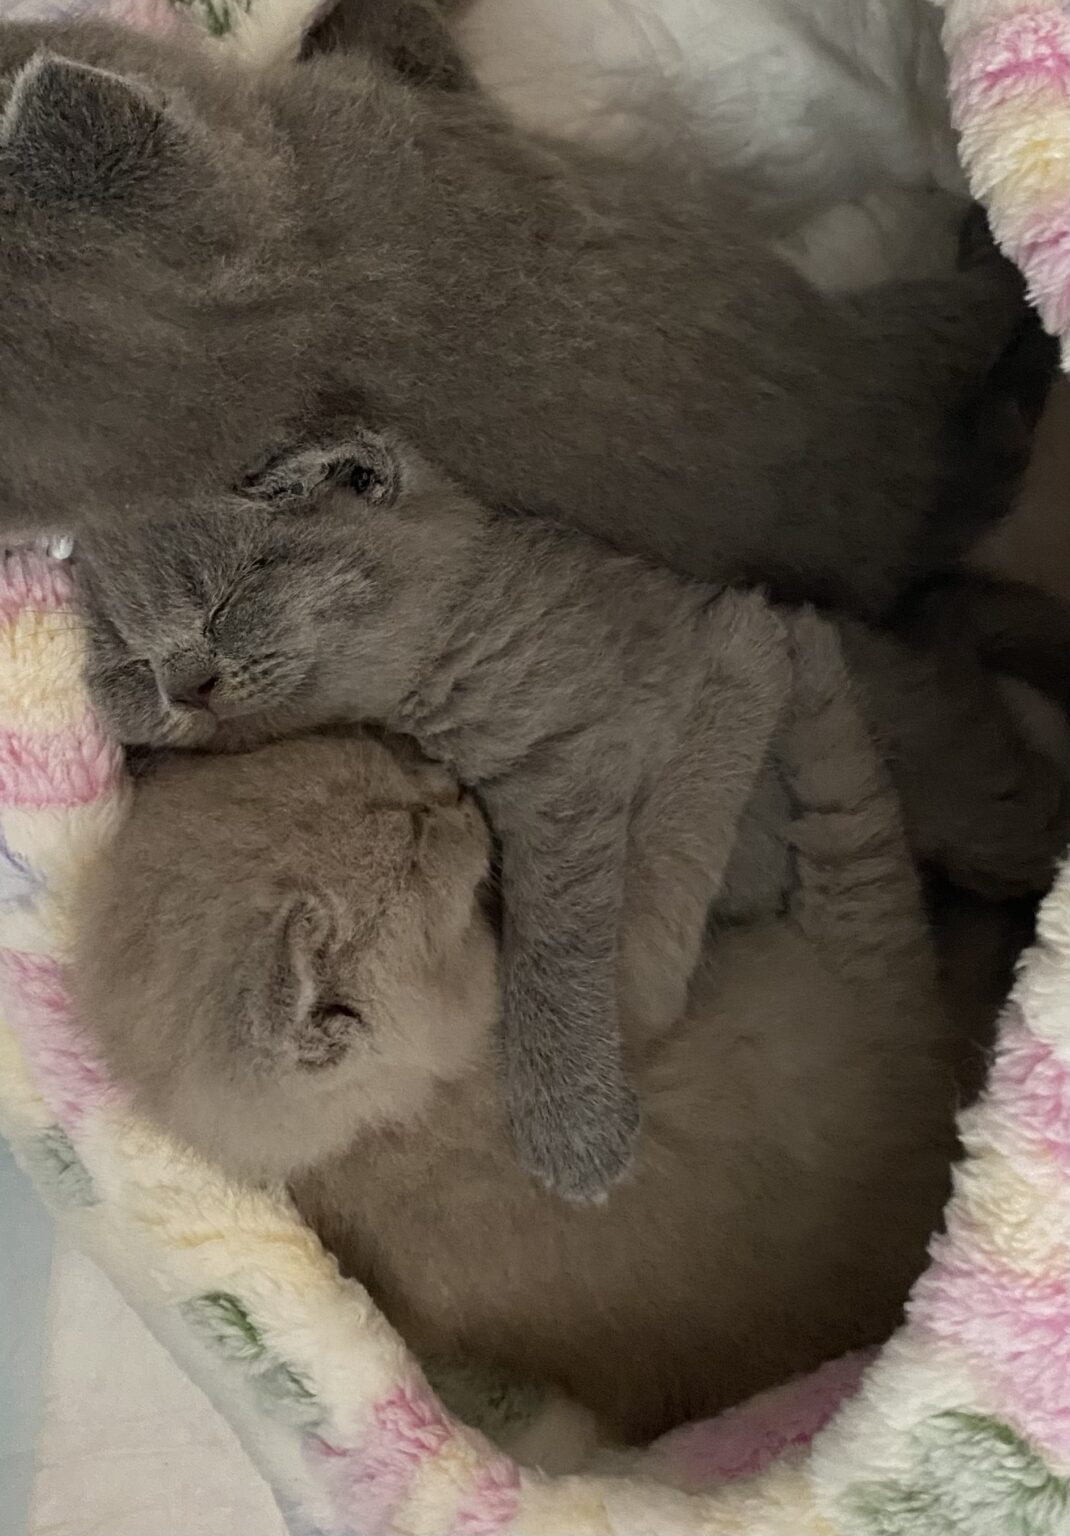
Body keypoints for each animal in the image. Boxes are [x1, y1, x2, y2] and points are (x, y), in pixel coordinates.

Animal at [69, 620, 965, 1443]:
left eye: (389, 760)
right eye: (415, 839)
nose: (458, 792)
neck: (377, 1127)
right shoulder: (614, 1016)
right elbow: (663, 864)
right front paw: (733, 671)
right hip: (854, 957)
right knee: (854, 821)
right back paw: (791, 650)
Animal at [74, 422, 1070, 1200]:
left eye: (231, 597)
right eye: (128, 659)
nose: (185, 685)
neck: (433, 656)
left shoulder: (567, 771)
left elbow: (560, 946)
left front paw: (570, 1126)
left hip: (971, 808)